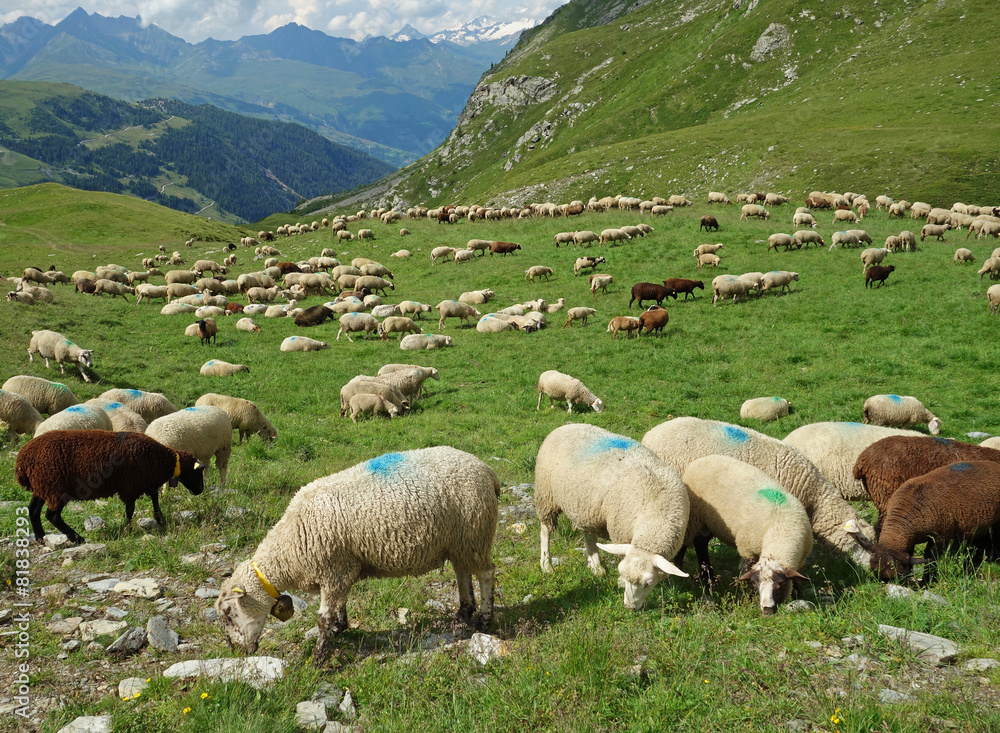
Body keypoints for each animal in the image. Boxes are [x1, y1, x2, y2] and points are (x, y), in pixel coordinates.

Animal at [16, 430, 205, 543]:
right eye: (198, 473)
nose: (200, 490)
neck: (162, 461)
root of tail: (22, 460)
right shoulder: (131, 486)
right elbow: (130, 510)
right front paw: (126, 528)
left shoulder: (145, 482)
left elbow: (154, 499)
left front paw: (160, 519)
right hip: (56, 487)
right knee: (52, 515)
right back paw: (77, 538)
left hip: (42, 486)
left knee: (33, 510)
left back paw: (40, 537)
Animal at [216, 446, 499, 661]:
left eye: (229, 613)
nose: (235, 650)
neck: (290, 544)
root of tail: (486, 469)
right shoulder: (339, 571)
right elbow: (339, 605)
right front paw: (339, 628)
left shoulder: (334, 570)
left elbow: (323, 618)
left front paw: (318, 658)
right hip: (460, 541)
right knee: (462, 572)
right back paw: (463, 613)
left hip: (475, 534)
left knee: (486, 573)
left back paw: (485, 619)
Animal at [534, 424, 688, 609]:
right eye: (623, 572)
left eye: (648, 584)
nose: (629, 607)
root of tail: (566, 425)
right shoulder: (620, 531)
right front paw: (621, 582)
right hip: (546, 494)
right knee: (545, 530)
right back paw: (546, 564)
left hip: (586, 507)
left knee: (589, 535)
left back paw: (596, 567)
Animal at [679, 455, 812, 614]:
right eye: (755, 584)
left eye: (780, 584)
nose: (767, 610)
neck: (780, 530)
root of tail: (703, 458)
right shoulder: (748, 550)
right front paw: (750, 596)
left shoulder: (797, 560)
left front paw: (797, 594)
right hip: (693, 517)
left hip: (708, 522)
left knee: (701, 542)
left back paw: (708, 576)